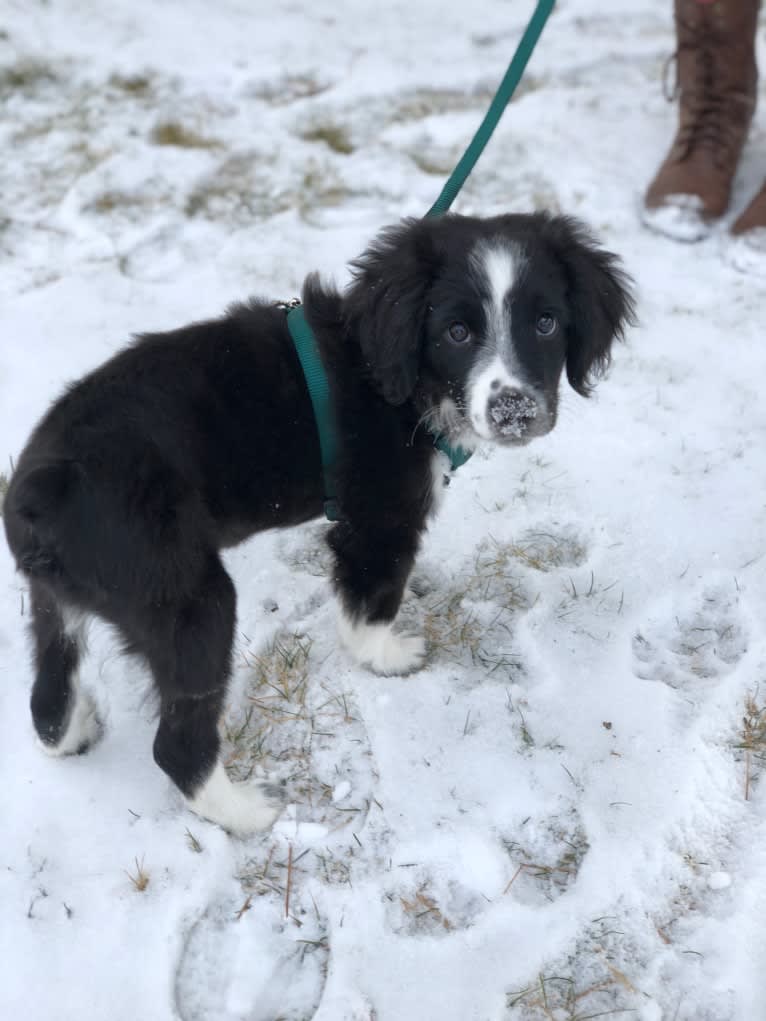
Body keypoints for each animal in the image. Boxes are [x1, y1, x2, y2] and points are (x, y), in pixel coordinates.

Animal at [3, 211, 637, 833]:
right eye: (457, 333)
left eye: (547, 323)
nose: (514, 411)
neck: (396, 375)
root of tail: (34, 495)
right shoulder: (378, 519)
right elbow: (371, 599)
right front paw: (385, 657)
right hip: (186, 598)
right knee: (177, 743)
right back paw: (248, 812)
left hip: (61, 598)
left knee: (48, 692)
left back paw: (73, 728)